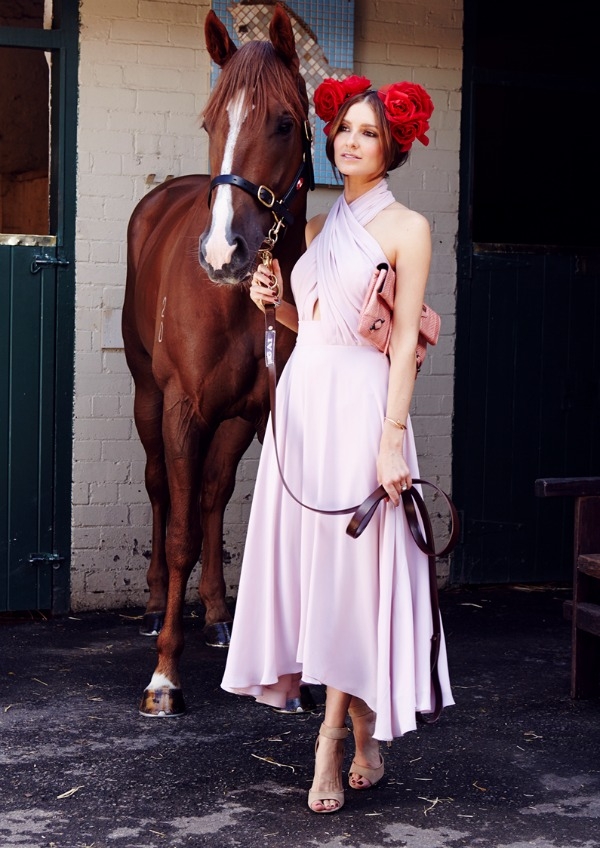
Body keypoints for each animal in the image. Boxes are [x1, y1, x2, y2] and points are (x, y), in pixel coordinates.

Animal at [119, 4, 312, 716]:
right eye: (210, 123)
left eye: (283, 122)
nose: (224, 252)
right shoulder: (182, 408)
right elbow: (177, 533)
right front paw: (164, 676)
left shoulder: (265, 414)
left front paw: (289, 679)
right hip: (148, 399)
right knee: (161, 489)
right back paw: (157, 604)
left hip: (231, 422)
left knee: (208, 493)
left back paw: (217, 613)